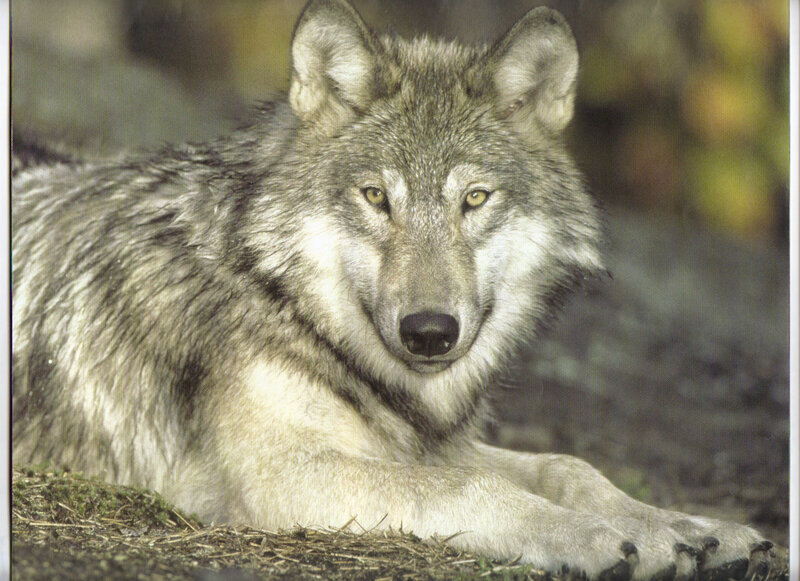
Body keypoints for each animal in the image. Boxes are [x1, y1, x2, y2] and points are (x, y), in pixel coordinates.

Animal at [12, 1, 774, 579]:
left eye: (474, 199)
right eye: (377, 197)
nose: (429, 331)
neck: (279, 295)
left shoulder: (429, 444)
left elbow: (570, 466)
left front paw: (691, 528)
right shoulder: (280, 475)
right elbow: (472, 486)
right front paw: (603, 538)